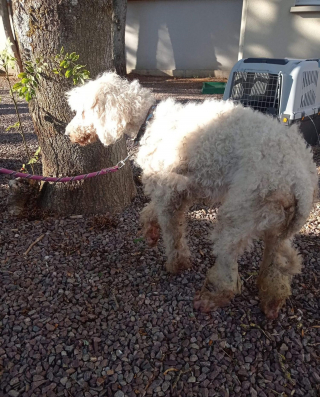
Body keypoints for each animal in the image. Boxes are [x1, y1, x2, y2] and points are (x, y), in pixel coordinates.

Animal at [65, 71, 318, 318]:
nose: (68, 134)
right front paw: (150, 230)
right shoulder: (180, 187)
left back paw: (210, 299)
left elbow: (173, 233)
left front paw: (177, 264)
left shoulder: (169, 193)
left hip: (239, 214)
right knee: (278, 266)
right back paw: (272, 302)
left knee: (229, 273)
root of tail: (299, 181)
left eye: (83, 111)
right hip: (278, 225)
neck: (149, 120)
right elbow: (152, 211)